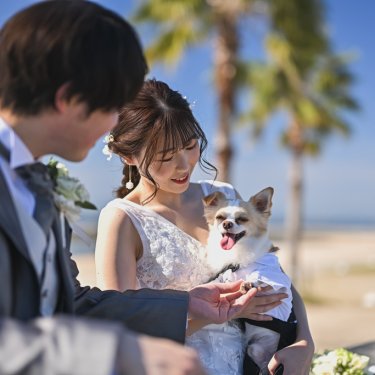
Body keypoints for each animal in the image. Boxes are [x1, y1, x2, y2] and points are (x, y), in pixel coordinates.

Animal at [203, 188, 296, 375]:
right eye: (220, 218)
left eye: (242, 219)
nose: (227, 224)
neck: (236, 257)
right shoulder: (224, 274)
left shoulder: (278, 283)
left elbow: (262, 280)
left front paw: (249, 283)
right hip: (254, 350)